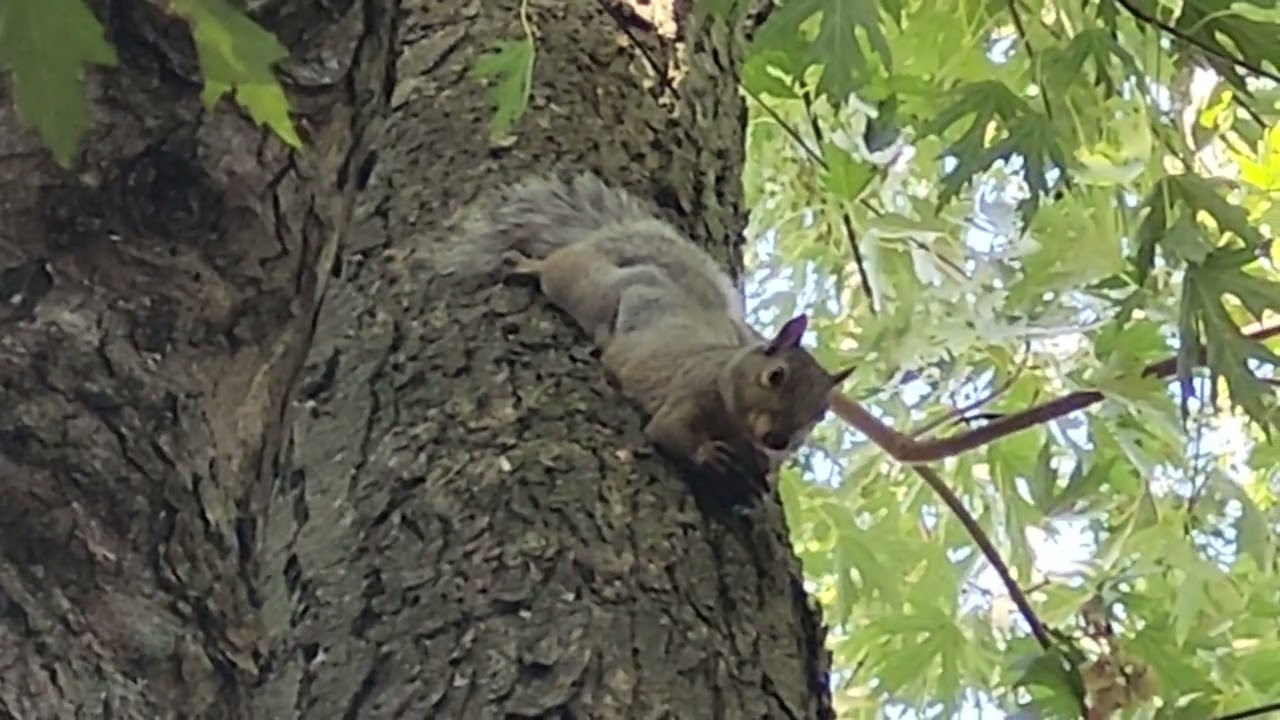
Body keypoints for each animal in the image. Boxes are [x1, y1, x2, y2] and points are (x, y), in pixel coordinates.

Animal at [435, 172, 854, 508]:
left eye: (820, 414)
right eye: (775, 375)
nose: (780, 439)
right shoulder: (689, 393)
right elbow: (668, 432)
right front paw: (708, 458)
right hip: (586, 287)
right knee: (558, 268)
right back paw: (527, 265)